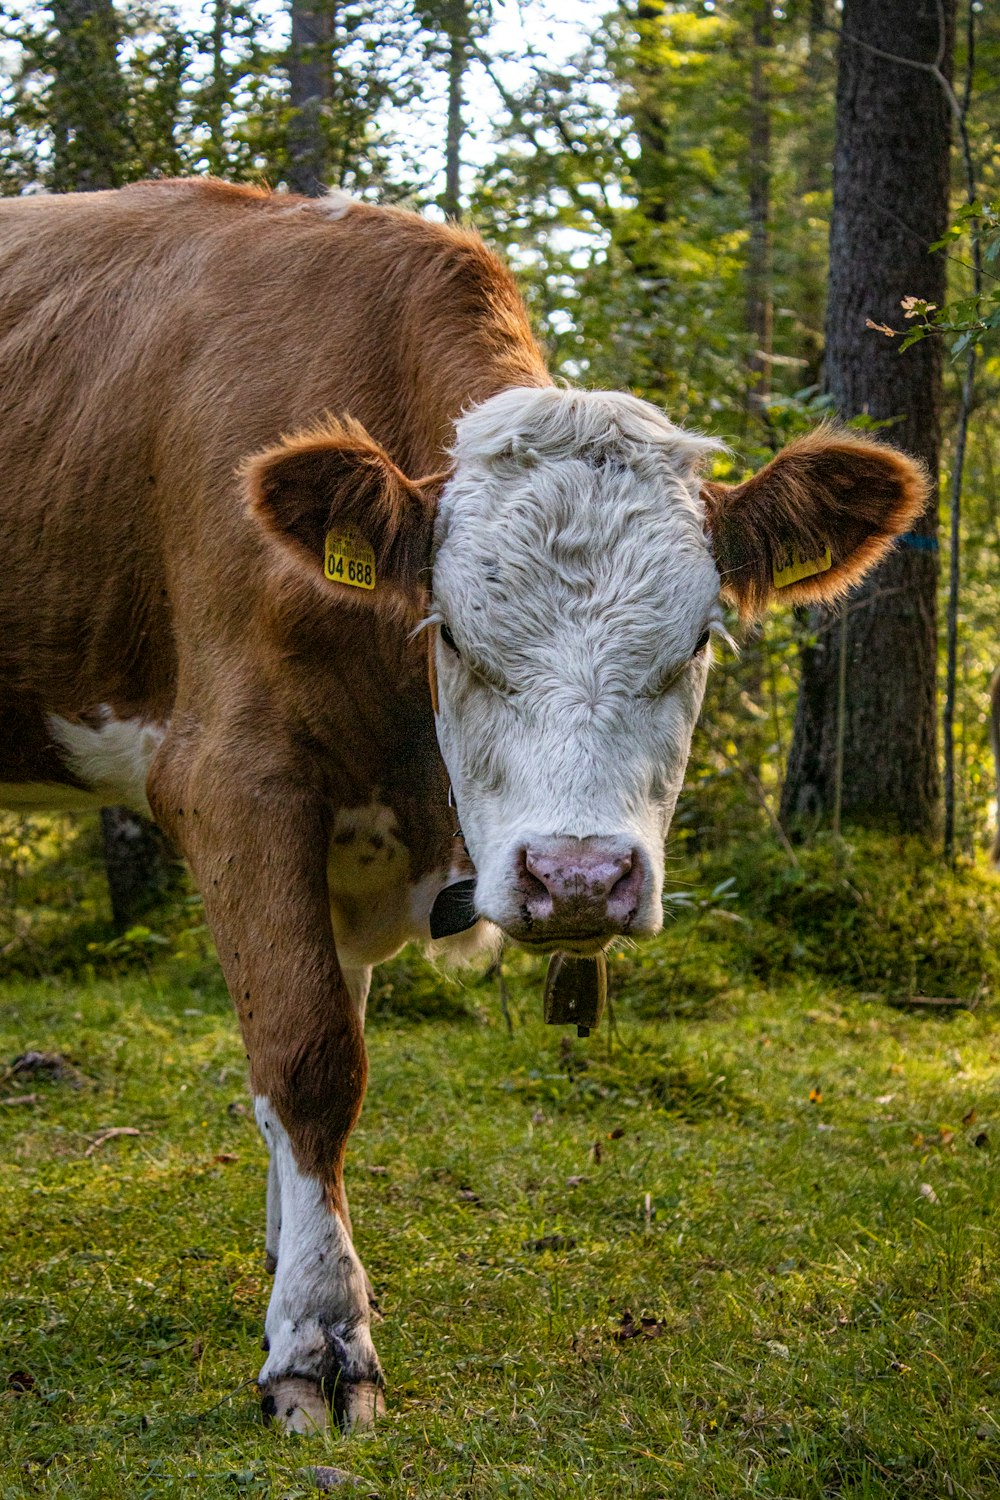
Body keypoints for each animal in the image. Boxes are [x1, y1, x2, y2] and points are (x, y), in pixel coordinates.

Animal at [0, 175, 929, 1428]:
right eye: (451, 633)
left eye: (698, 640)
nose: (578, 876)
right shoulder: (231, 776)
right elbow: (308, 1056)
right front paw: (320, 1337)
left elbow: (303, 1056)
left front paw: (294, 1261)